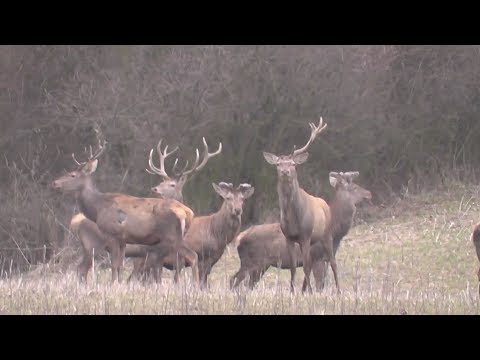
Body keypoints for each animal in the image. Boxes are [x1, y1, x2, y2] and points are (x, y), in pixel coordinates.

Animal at [50, 130, 197, 284]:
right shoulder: (123, 240)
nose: (55, 183)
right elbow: (120, 266)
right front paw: (119, 283)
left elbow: (115, 265)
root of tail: (187, 212)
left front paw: (113, 284)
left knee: (192, 256)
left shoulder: (113, 234)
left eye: (72, 175)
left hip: (171, 236)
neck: (98, 208)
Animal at [127, 183, 255, 286]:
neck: (217, 234)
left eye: (243, 199)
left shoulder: (213, 258)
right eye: (228, 198)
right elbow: (202, 282)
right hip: (141, 258)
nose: (237, 210)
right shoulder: (202, 257)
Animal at [230, 170, 372, 292]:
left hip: (260, 266)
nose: (369, 193)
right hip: (251, 262)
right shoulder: (317, 258)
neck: (335, 233)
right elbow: (319, 285)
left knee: (246, 283)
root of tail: (240, 237)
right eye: (354, 187)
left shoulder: (320, 259)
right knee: (234, 280)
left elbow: (307, 285)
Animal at [260, 116, 340, 294]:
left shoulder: (305, 234)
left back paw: (338, 290)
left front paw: (308, 291)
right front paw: (292, 291)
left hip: (326, 234)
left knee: (332, 262)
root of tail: (325, 204)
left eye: (293, 164)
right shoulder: (289, 237)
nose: (285, 172)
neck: (293, 218)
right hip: (314, 240)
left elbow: (305, 266)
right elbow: (293, 267)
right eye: (278, 164)